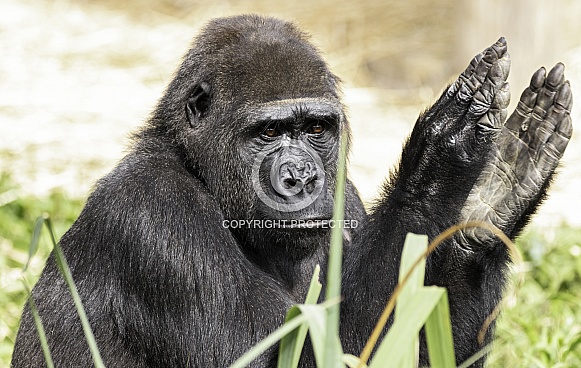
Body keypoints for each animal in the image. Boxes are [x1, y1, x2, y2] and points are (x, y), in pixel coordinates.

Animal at [12, 13, 572, 366]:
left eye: (316, 129)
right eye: (268, 133)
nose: (301, 177)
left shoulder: (347, 199)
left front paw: (486, 205)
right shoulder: (153, 219)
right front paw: (438, 162)